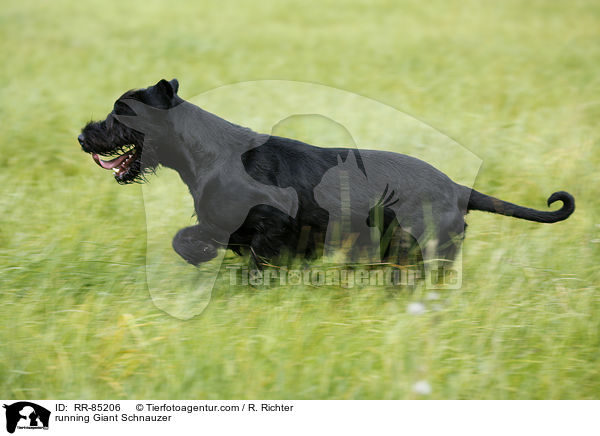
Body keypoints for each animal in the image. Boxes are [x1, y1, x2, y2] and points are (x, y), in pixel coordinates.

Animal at [77, 79, 576, 268]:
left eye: (121, 112)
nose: (84, 136)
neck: (207, 153)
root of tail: (458, 188)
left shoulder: (270, 225)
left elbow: (218, 249)